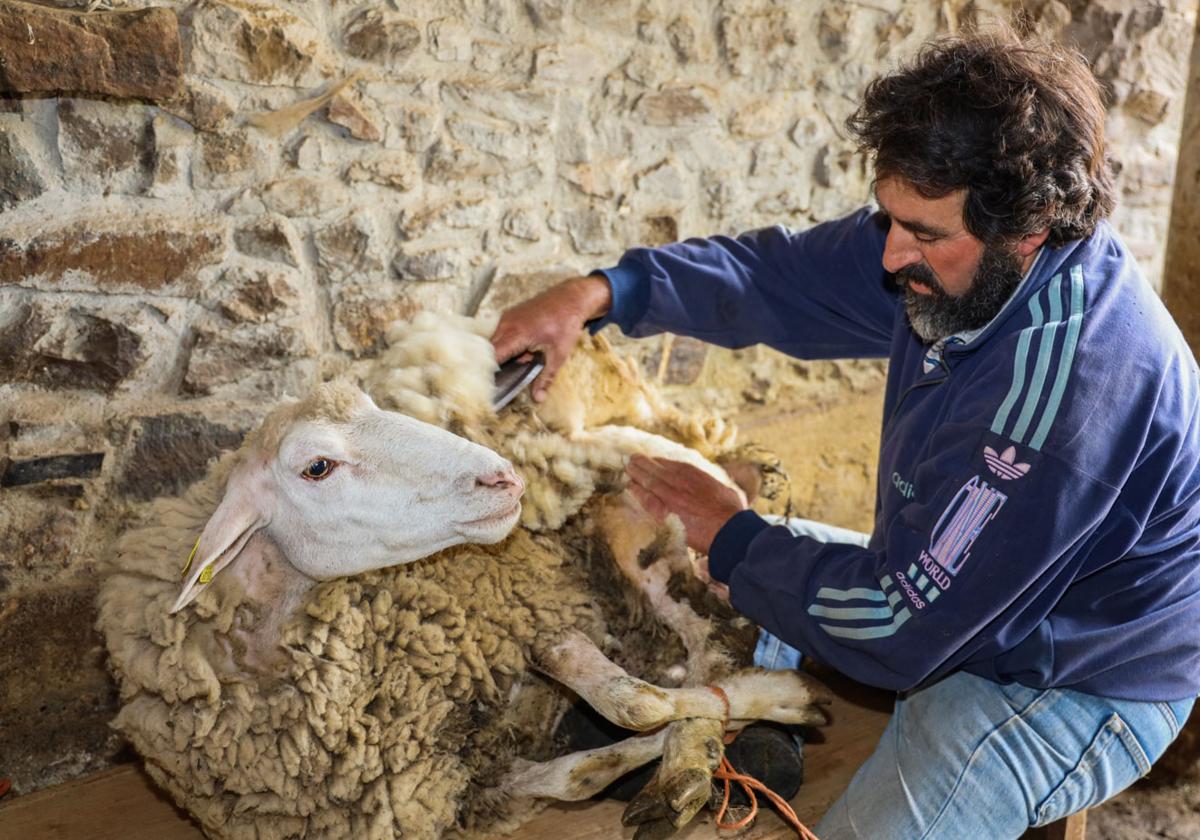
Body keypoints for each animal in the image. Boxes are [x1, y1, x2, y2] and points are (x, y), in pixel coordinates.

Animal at [98, 314, 830, 840]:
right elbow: (584, 772)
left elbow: (634, 703)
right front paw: (663, 745)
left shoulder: (530, 613)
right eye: (316, 467)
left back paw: (702, 744)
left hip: (639, 507)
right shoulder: (459, 790)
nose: (502, 476)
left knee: (709, 640)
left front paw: (774, 699)